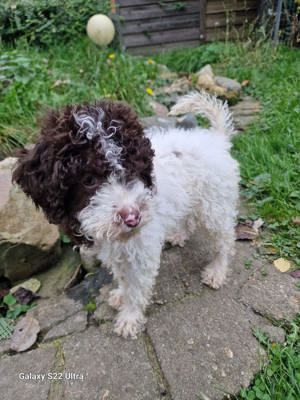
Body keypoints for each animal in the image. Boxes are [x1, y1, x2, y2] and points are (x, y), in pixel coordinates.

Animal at [13, 93, 239, 338]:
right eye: (89, 179)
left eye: (132, 169)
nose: (133, 218)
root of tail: (216, 140)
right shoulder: (117, 251)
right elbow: (123, 277)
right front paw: (121, 295)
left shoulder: (142, 252)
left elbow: (137, 288)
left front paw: (130, 318)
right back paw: (179, 235)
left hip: (215, 208)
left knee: (224, 242)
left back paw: (217, 271)